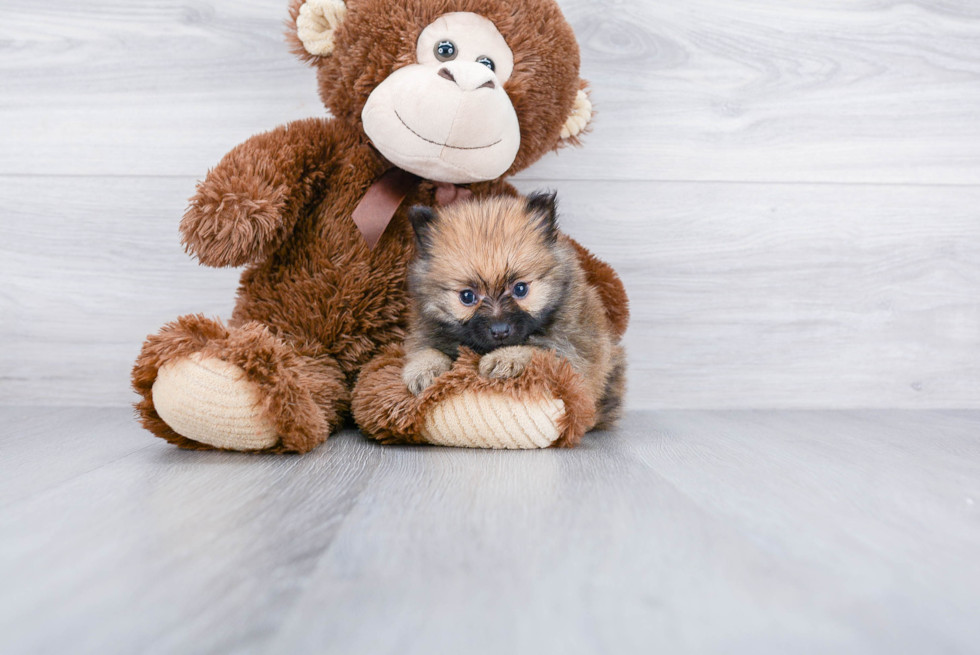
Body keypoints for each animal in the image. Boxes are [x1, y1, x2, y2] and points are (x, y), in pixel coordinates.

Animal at [400, 191, 624, 426]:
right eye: (467, 296)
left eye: (520, 289)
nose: (500, 331)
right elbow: (426, 350)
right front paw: (423, 369)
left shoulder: (572, 356)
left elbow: (536, 350)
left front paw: (505, 358)